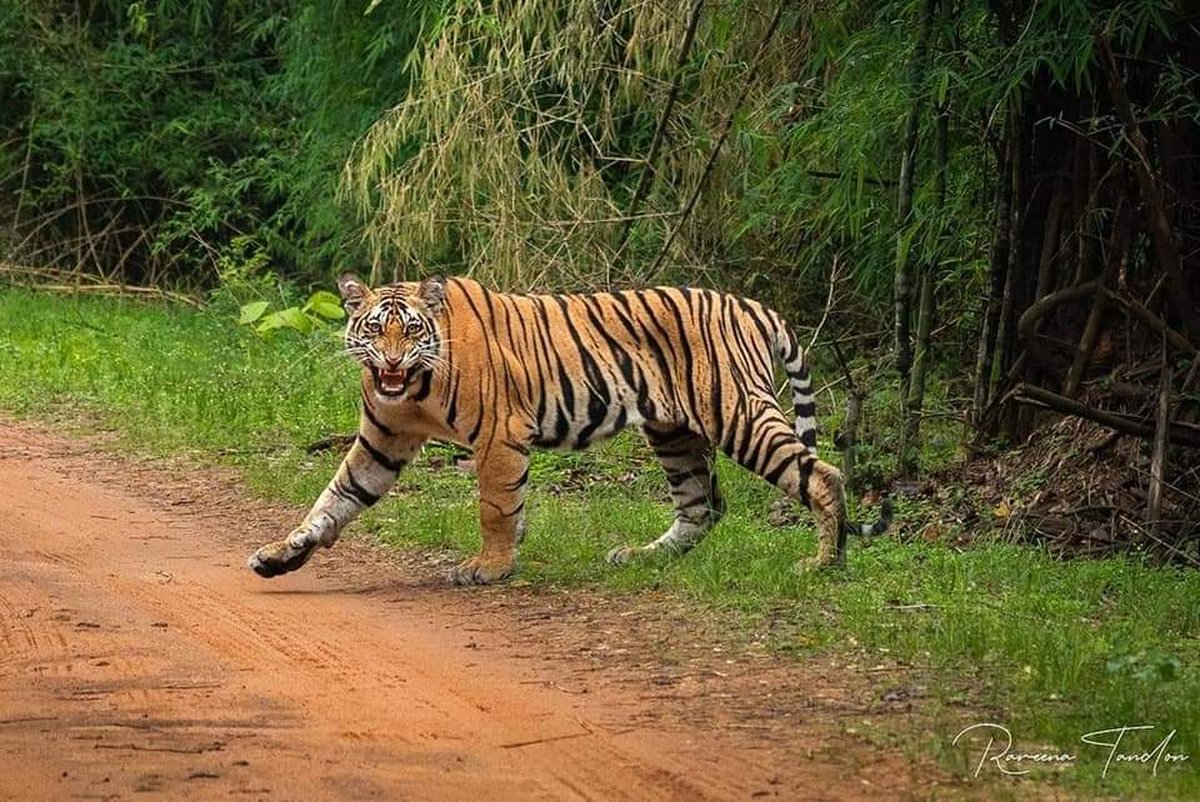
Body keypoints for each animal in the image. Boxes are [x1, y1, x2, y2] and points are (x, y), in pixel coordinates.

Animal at [247, 275, 892, 585]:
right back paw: (639, 557)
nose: (390, 362)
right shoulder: (381, 442)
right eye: (373, 329)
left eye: (409, 330)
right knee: (702, 505)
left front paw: (491, 568)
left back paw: (823, 564)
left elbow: (495, 507)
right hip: (674, 432)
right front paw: (281, 555)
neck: (415, 390)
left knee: (822, 475)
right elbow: (333, 499)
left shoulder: (501, 435)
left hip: (738, 413)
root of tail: (755, 306)